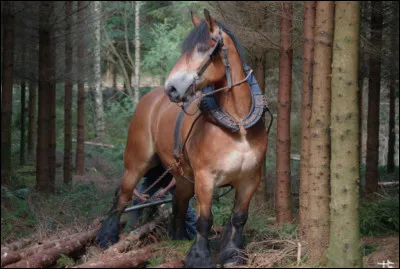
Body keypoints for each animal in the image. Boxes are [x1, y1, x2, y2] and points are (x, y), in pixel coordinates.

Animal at [96, 9, 270, 266]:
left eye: (203, 48)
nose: (171, 88)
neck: (238, 125)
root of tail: (149, 98)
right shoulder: (205, 178)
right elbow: (205, 220)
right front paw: (199, 258)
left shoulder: (250, 179)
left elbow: (239, 217)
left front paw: (233, 255)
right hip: (137, 163)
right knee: (123, 195)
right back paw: (107, 237)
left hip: (181, 176)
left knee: (178, 202)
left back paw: (177, 237)